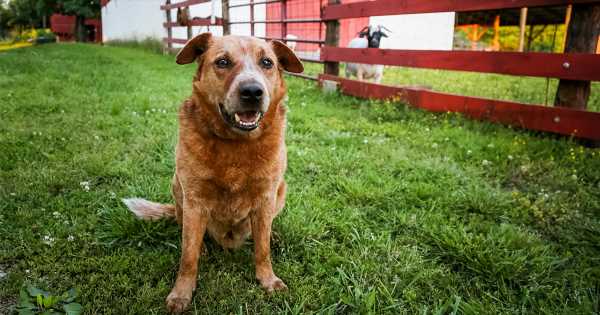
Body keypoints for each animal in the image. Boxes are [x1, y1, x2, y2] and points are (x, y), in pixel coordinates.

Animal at [124, 33, 304, 314]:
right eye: (222, 62)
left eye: (267, 62)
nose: (252, 91)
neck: (236, 143)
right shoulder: (194, 200)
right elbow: (188, 255)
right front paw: (182, 292)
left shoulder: (266, 197)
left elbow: (262, 249)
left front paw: (268, 279)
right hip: (177, 187)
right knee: (185, 228)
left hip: (281, 191)